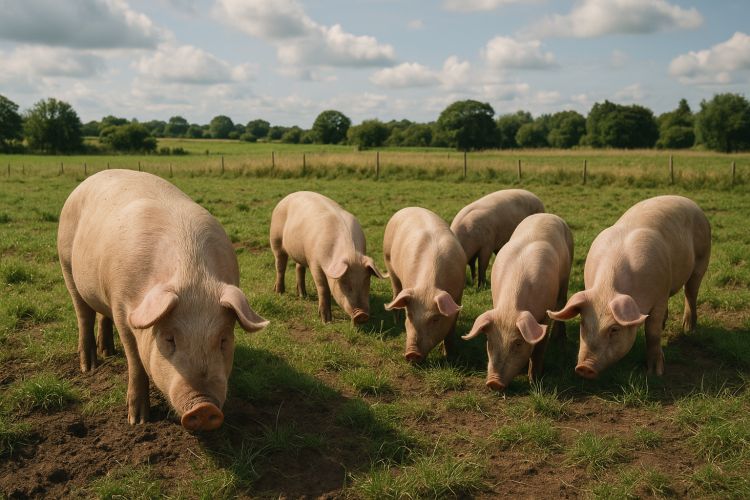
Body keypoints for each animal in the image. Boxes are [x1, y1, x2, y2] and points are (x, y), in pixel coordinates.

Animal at [57, 169, 268, 431]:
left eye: (223, 340)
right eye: (169, 339)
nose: (204, 408)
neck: (193, 275)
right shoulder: (122, 308)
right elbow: (136, 362)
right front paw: (137, 421)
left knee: (101, 315)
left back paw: (108, 352)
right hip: (66, 263)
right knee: (83, 314)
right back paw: (89, 367)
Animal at [269, 191, 384, 324]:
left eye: (366, 281)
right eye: (344, 282)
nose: (362, 315)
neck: (351, 254)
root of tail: (287, 196)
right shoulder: (315, 263)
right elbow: (323, 288)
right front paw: (326, 321)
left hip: (301, 252)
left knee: (299, 268)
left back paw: (303, 295)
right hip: (275, 239)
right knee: (280, 266)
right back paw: (279, 292)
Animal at [383, 207, 466, 362]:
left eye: (435, 319)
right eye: (409, 314)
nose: (412, 354)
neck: (428, 287)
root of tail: (407, 208)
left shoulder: (458, 296)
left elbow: (451, 329)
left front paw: (449, 354)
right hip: (388, 260)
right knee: (396, 291)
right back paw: (396, 320)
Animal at [462, 214, 573, 391]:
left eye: (518, 343)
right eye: (489, 342)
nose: (494, 382)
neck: (510, 308)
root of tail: (547, 214)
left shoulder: (544, 314)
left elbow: (539, 346)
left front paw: (534, 381)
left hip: (566, 273)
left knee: (561, 303)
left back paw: (560, 340)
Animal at [548, 195, 711, 378]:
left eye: (614, 329)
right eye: (583, 324)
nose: (583, 367)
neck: (607, 289)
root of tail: (690, 201)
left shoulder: (659, 296)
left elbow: (652, 333)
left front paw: (655, 373)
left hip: (702, 258)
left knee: (690, 292)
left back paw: (689, 330)